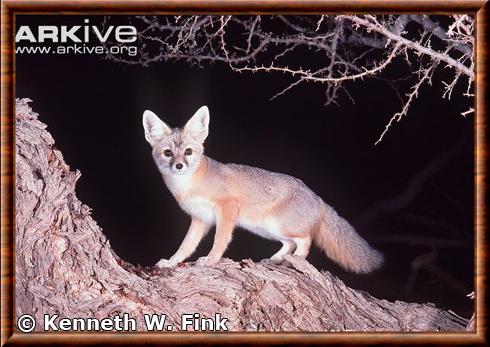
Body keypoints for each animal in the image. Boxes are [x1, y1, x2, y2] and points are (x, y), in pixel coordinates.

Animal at [144, 106, 384, 274]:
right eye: (167, 153)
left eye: (188, 152)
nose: (179, 166)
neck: (188, 186)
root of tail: (317, 198)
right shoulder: (200, 219)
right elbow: (185, 246)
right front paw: (171, 262)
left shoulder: (228, 208)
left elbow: (220, 240)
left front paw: (211, 260)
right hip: (267, 229)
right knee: (289, 243)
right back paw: (277, 259)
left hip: (279, 226)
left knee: (305, 241)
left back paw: (294, 261)